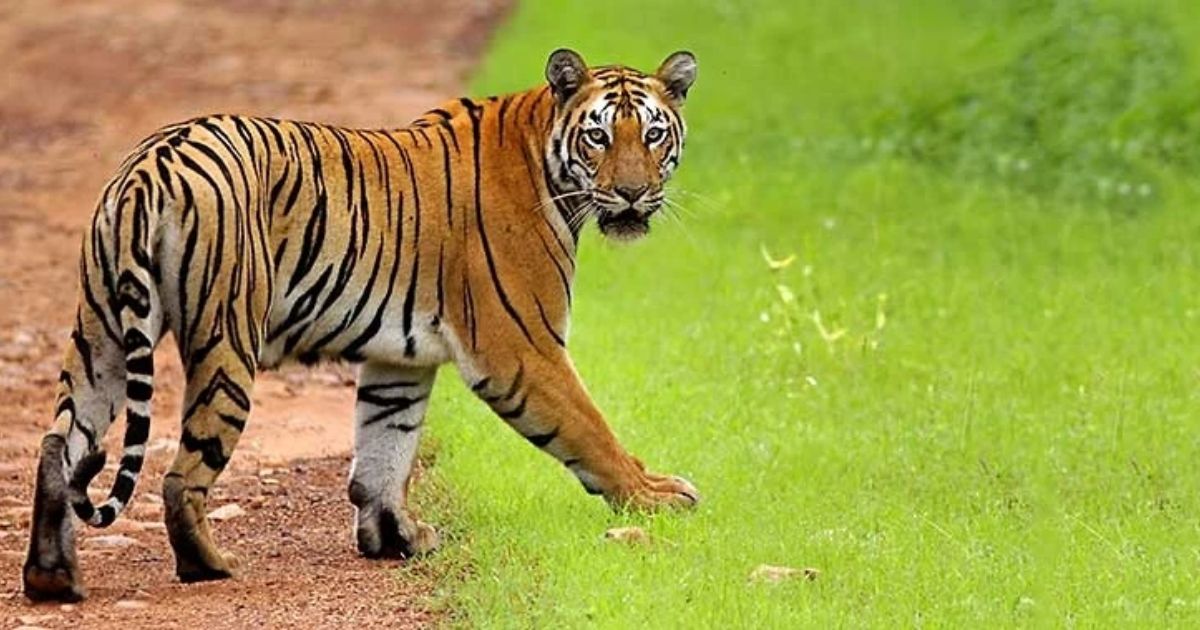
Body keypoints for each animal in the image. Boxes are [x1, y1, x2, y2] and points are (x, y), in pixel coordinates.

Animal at [22, 48, 699, 601]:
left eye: (653, 134)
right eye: (599, 137)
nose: (633, 194)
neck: (547, 159)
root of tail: (149, 163)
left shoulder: (400, 360)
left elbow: (384, 451)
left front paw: (396, 538)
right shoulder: (522, 349)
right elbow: (590, 429)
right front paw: (655, 497)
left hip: (102, 335)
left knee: (59, 445)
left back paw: (51, 578)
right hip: (226, 340)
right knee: (181, 476)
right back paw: (210, 566)